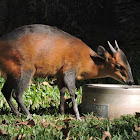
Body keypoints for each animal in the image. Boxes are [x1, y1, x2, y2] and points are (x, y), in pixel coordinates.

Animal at [0, 24, 133, 120]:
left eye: (128, 63)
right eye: (118, 66)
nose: (131, 81)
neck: (88, 60)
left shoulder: (60, 73)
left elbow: (62, 91)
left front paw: (62, 112)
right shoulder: (69, 70)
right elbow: (73, 93)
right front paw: (78, 117)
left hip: (13, 72)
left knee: (5, 91)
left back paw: (17, 114)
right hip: (25, 69)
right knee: (17, 94)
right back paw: (28, 116)